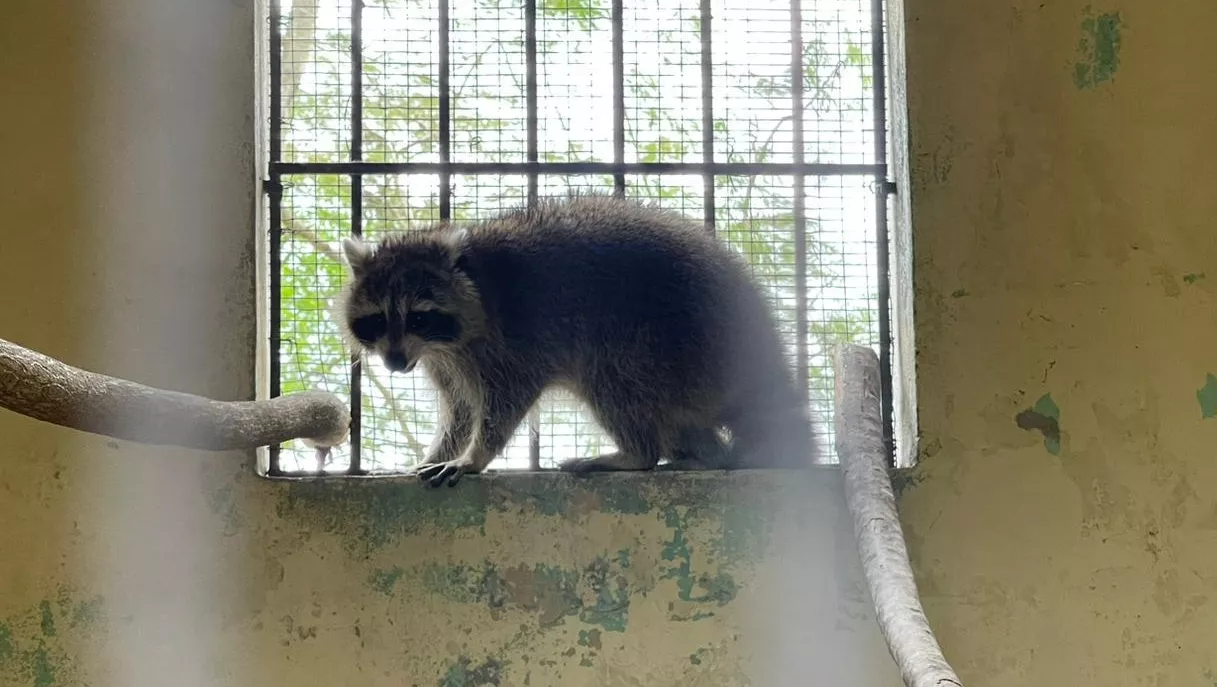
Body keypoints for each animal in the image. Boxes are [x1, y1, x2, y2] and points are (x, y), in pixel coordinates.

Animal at [333, 189, 817, 483]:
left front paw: (475, 456)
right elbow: (460, 409)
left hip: (660, 339)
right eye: (377, 319)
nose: (395, 363)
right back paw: (703, 455)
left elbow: (501, 404)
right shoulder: (445, 360)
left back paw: (635, 455)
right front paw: (437, 451)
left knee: (613, 378)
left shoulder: (512, 344)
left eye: (419, 318)